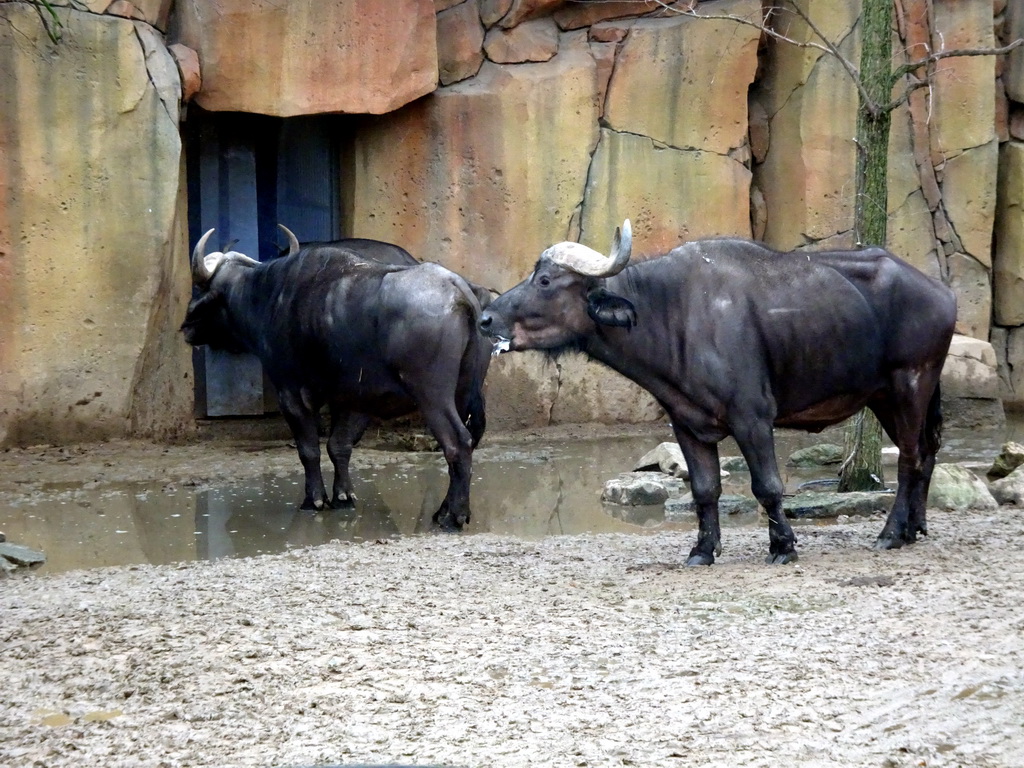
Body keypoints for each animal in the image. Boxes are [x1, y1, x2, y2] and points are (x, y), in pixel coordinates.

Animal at [182, 227, 489, 528]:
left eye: (201, 289)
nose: (186, 327)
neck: (268, 297)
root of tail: (459, 290)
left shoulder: (291, 394)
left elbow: (309, 450)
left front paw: (314, 499)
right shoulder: (352, 399)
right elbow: (339, 445)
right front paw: (343, 496)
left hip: (432, 395)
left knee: (457, 443)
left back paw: (454, 516)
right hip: (462, 393)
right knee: (464, 445)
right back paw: (444, 510)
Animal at [479, 222, 958, 565]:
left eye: (545, 280)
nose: (486, 319)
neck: (671, 312)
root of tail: (942, 292)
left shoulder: (753, 418)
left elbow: (768, 486)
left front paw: (783, 547)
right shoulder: (687, 424)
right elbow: (705, 489)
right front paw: (702, 550)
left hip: (910, 384)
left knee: (911, 458)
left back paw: (891, 534)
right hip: (885, 397)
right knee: (925, 453)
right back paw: (915, 528)